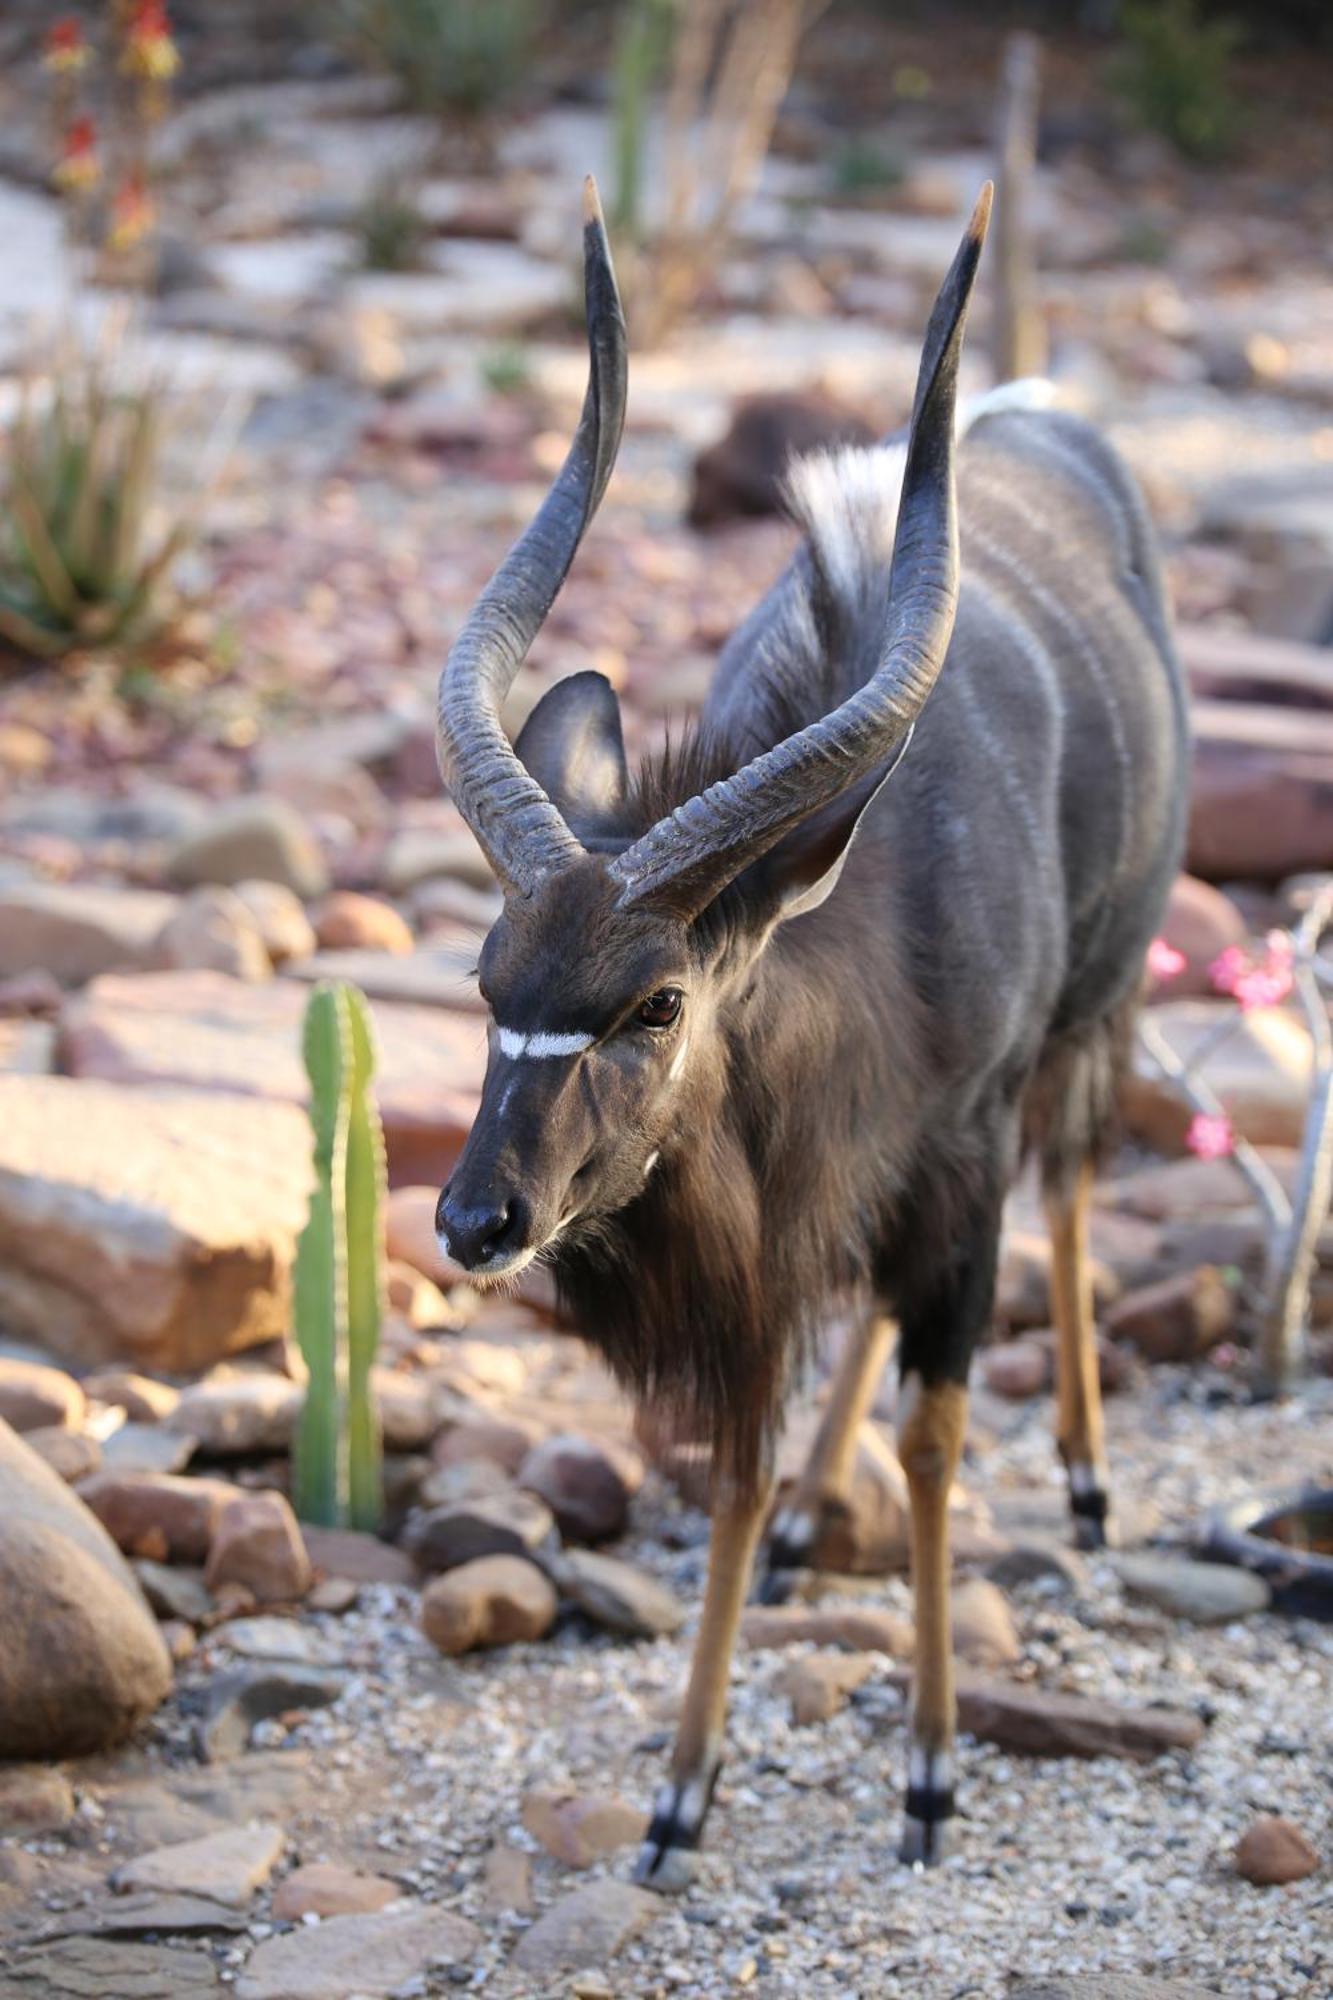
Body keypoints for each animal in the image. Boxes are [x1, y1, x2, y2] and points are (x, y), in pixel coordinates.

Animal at [434, 180, 1184, 1880]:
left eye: (655, 999)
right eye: (487, 979)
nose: (474, 1220)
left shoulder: (961, 1156)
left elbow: (937, 1435)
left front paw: (930, 1770)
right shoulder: (775, 1249)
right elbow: (742, 1456)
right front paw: (679, 1792)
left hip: (1092, 1021)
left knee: (1072, 1184)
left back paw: (1090, 1489)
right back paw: (805, 1535)